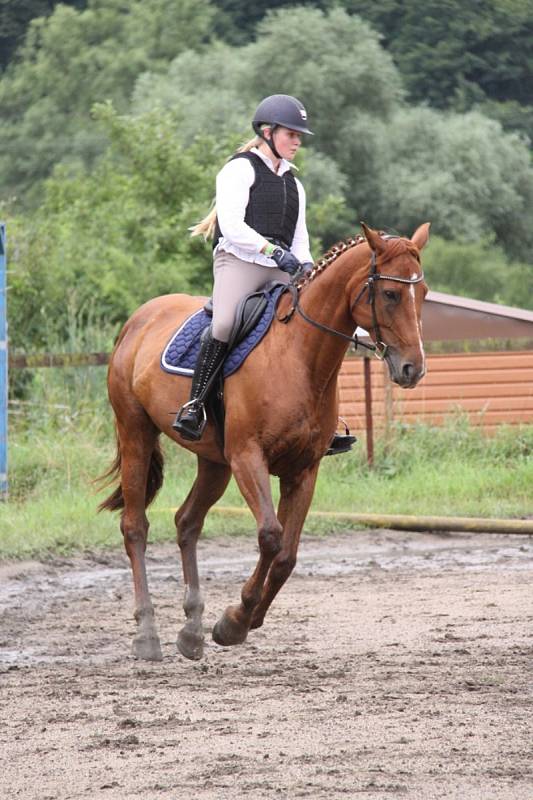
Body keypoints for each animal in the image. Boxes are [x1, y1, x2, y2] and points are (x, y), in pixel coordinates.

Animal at [100, 222, 430, 660]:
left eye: (423, 292)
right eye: (391, 294)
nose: (413, 369)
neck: (299, 356)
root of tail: (139, 318)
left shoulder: (303, 470)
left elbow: (287, 556)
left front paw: (243, 620)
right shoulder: (248, 458)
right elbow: (271, 537)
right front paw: (234, 620)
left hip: (214, 462)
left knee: (187, 522)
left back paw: (191, 630)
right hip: (136, 431)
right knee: (135, 526)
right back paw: (147, 633)